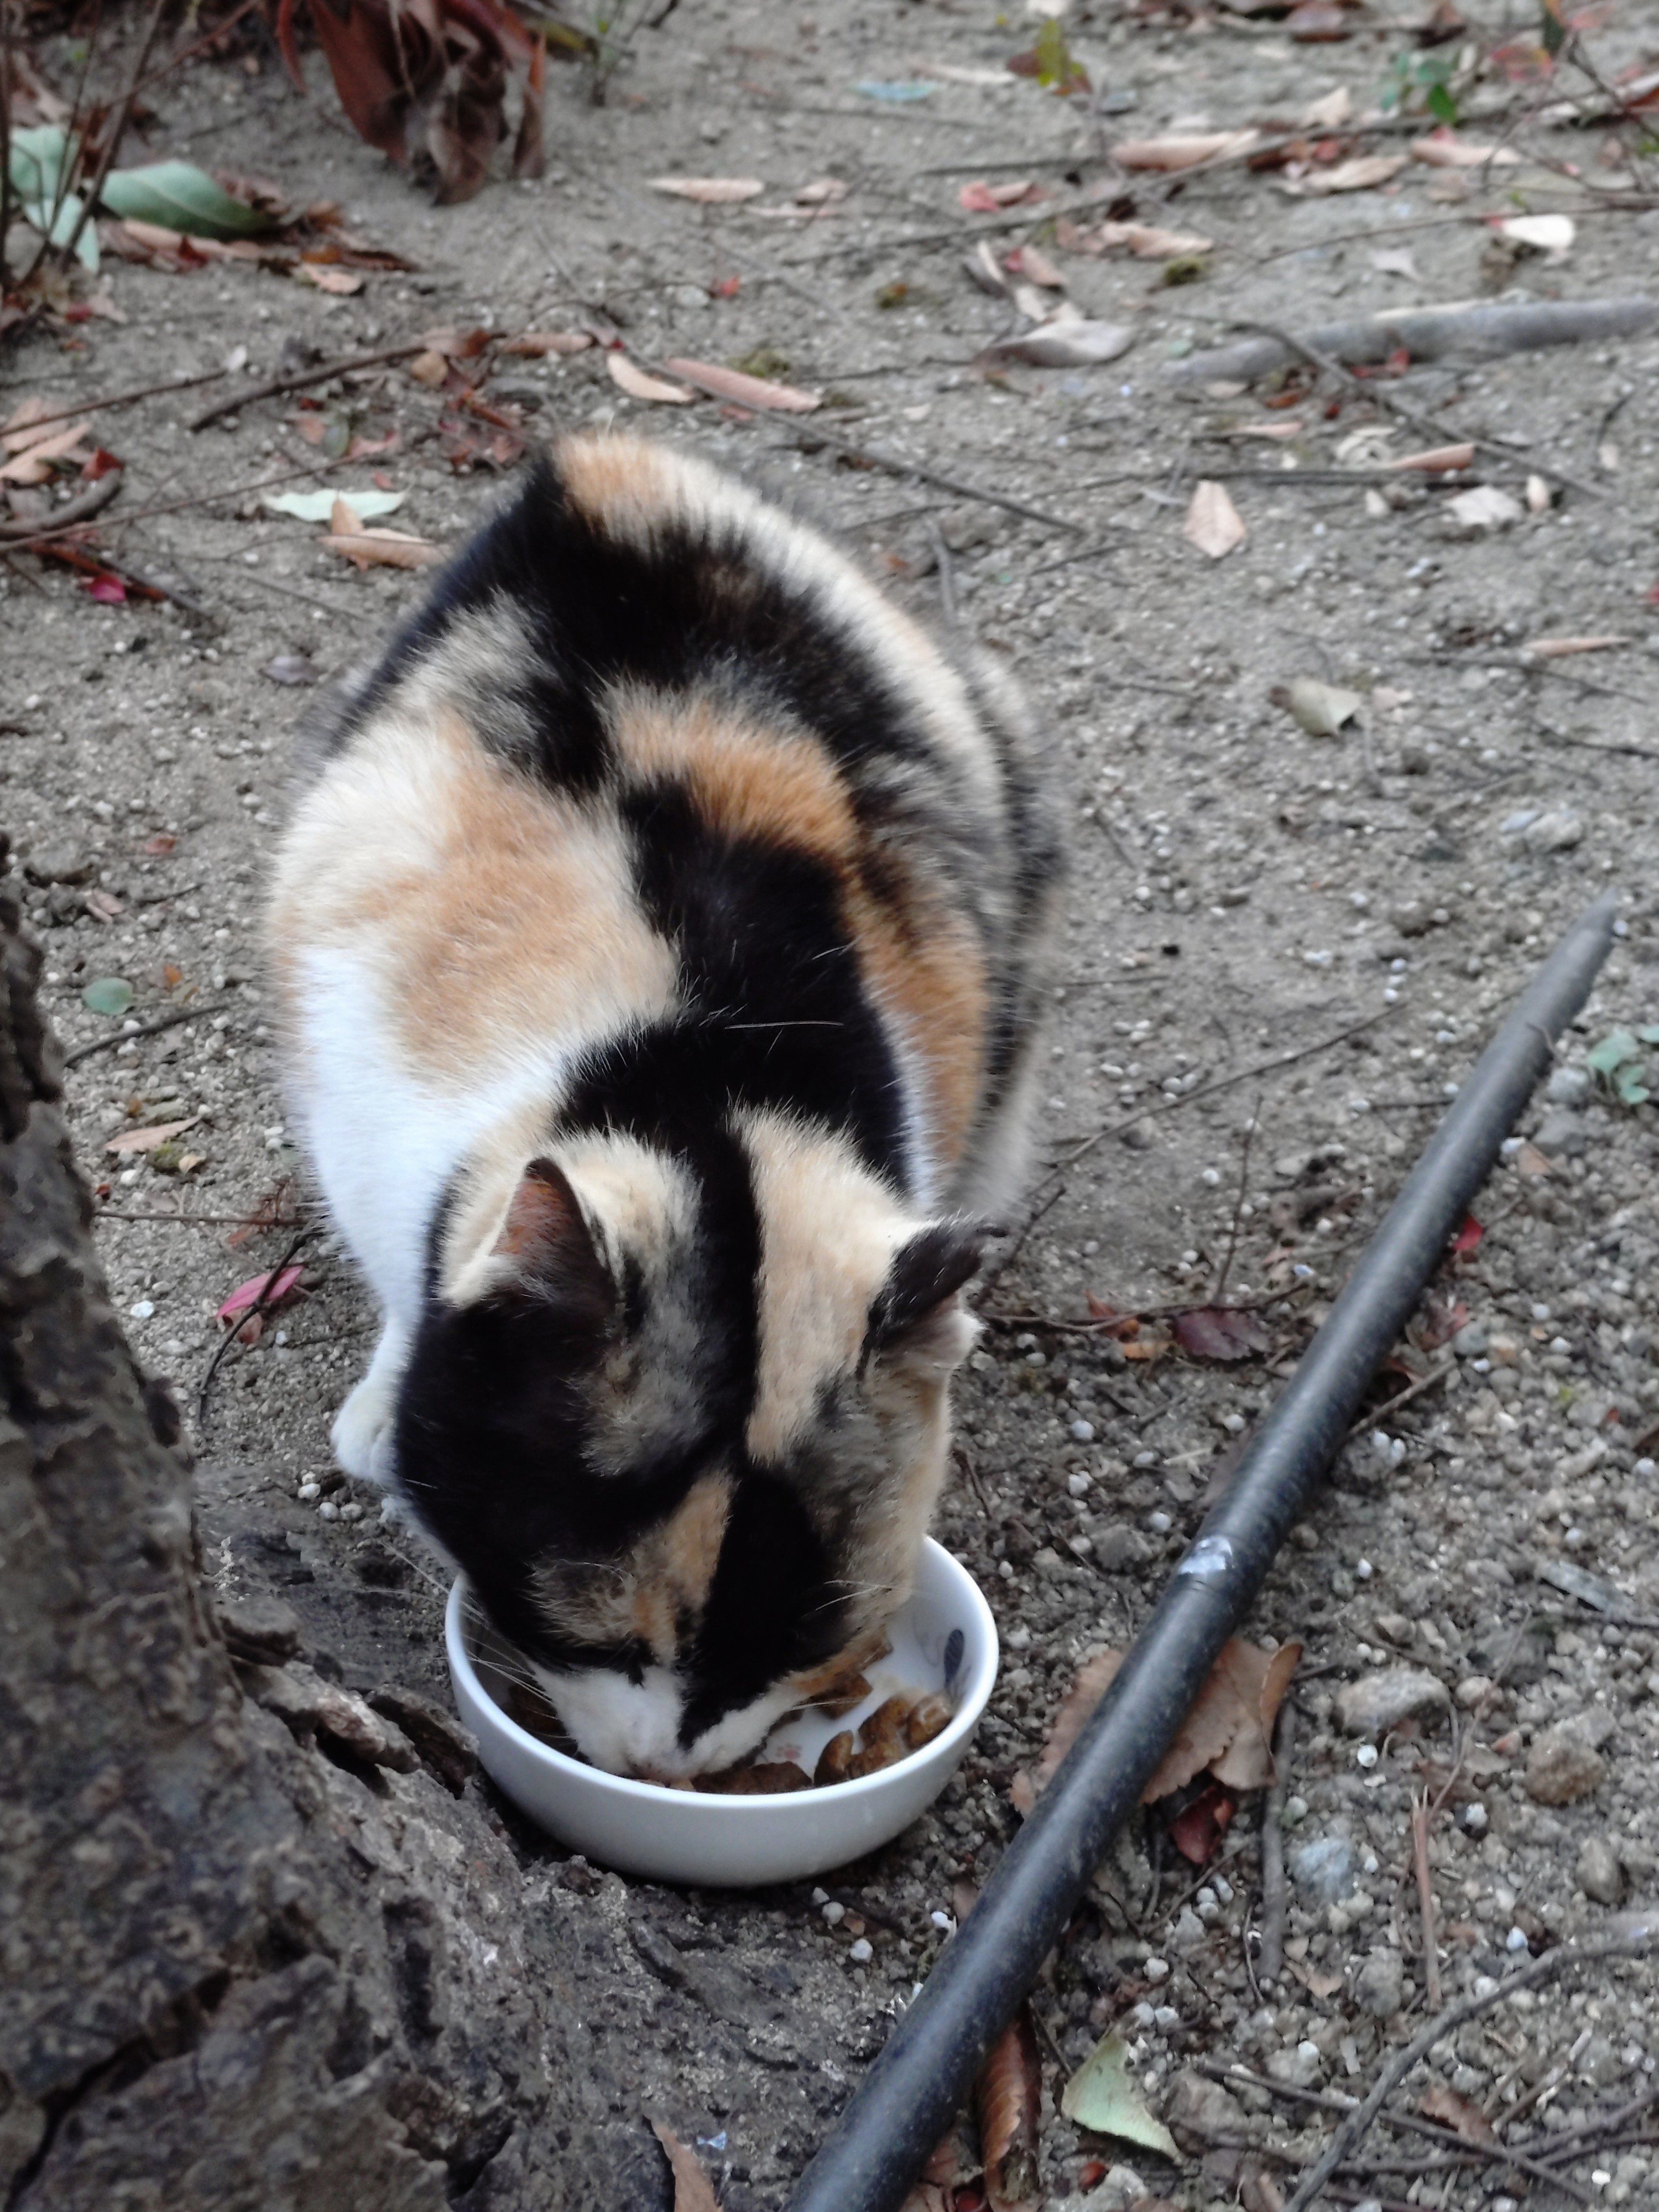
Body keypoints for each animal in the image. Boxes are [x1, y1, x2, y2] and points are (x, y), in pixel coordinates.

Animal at [268, 433, 1063, 1778]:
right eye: (604, 1630)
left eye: (801, 1641)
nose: (667, 1769)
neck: (707, 1074)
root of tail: (607, 462)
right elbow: (402, 1284)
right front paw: (380, 1409)